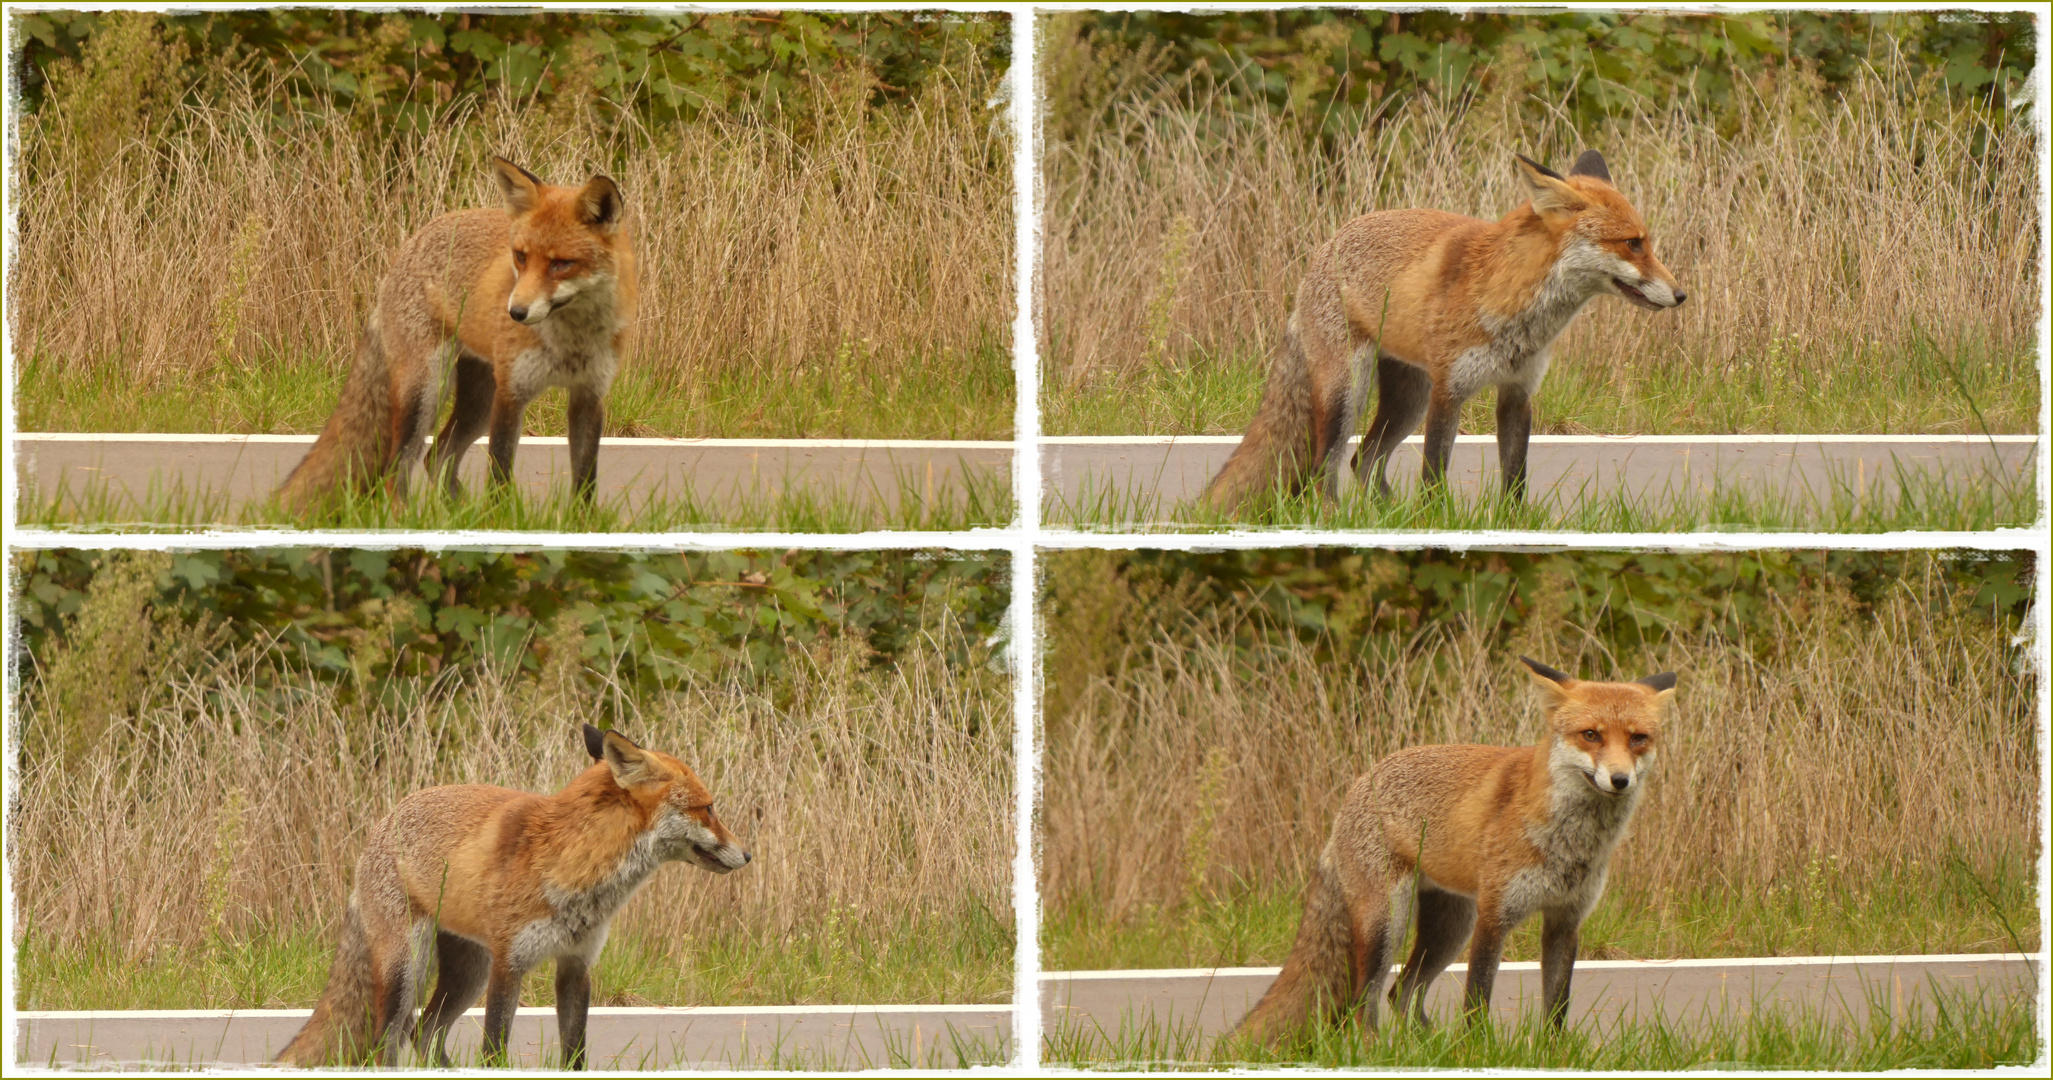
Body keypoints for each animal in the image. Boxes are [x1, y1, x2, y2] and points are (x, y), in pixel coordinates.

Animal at [277, 158, 636, 517]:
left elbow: (585, 479)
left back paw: (459, 514)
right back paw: (410, 519)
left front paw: (582, 522)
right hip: (428, 391)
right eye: (521, 256)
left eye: (561, 263)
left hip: (478, 403)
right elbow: (500, 474)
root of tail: (411, 243)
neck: (571, 342)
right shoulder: (511, 393)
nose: (515, 313)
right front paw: (500, 521)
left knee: (436, 456)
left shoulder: (589, 396)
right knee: (397, 468)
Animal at [277, 722, 751, 1067]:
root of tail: (383, 820)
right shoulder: (510, 964)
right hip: (408, 969)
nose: (747, 854)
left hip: (468, 974)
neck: (576, 865)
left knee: (425, 1034)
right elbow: (494, 1051)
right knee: (387, 1042)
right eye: (709, 807)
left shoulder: (576, 965)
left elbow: (574, 1055)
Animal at [1198, 148, 1683, 517]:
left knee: (1363, 460)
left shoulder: (1517, 393)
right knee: (1325, 469)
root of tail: (1325, 247)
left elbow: (1515, 478)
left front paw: (1511, 526)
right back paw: (1338, 521)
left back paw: (1388, 519)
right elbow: (1434, 474)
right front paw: (1433, 524)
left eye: (1646, 242)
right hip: (1349, 394)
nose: (1681, 295)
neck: (1513, 306)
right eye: (1633, 243)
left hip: (1407, 400)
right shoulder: (1449, 391)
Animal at [1223, 661, 1675, 1051]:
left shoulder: (1565, 920)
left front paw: (1553, 1054)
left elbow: (1557, 1006)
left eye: (1637, 739)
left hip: (1449, 929)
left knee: (1400, 993)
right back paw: (1378, 1052)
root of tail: (1360, 783)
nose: (1620, 779)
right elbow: (1477, 999)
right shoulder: (1494, 915)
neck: (1572, 843)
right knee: (1364, 1002)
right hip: (1390, 922)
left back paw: (1428, 1048)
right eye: (1591, 735)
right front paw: (1476, 1052)